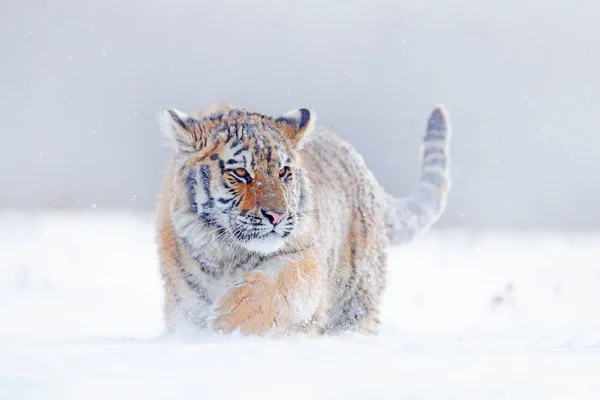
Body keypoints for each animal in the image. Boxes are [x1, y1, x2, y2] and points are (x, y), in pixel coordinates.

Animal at [155, 102, 450, 334]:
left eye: (283, 172)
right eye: (240, 172)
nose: (277, 215)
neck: (226, 257)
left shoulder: (307, 257)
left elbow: (281, 284)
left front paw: (229, 316)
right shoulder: (183, 303)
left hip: (356, 298)